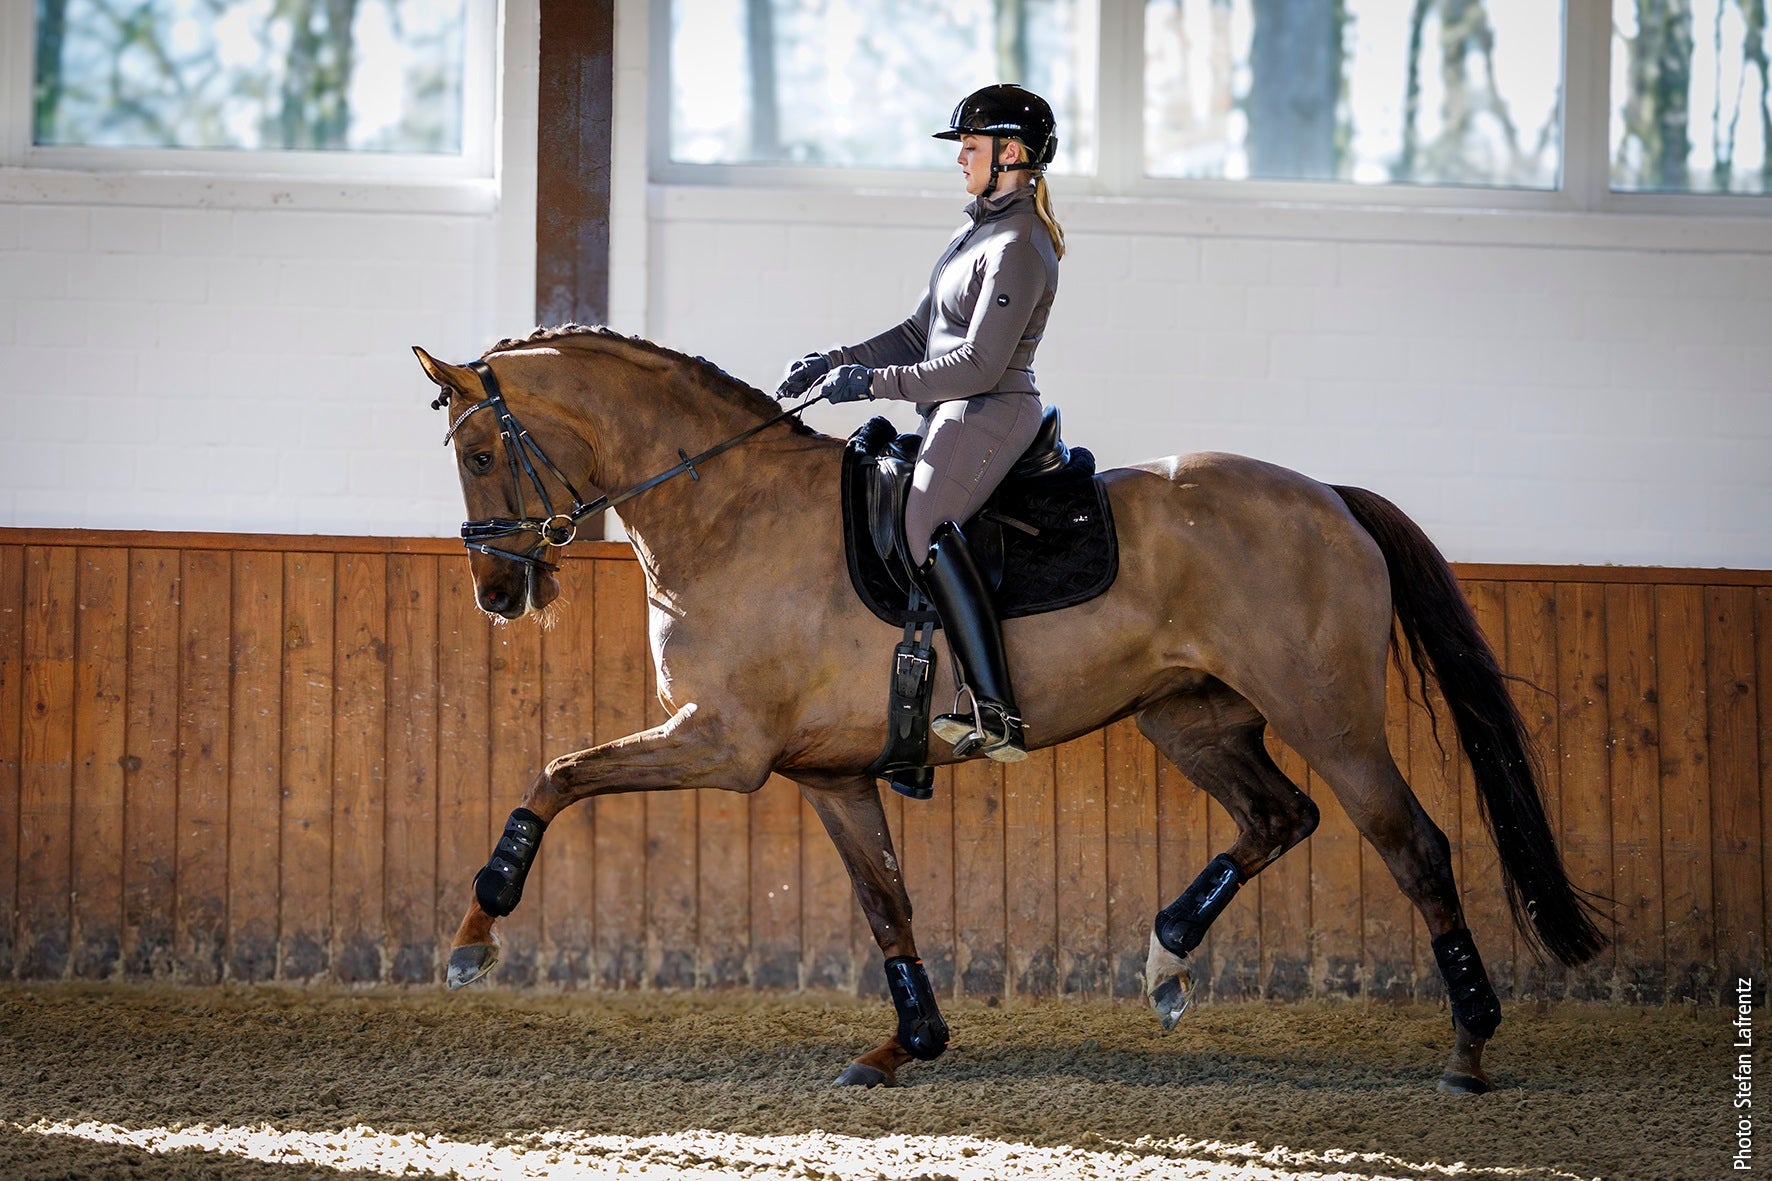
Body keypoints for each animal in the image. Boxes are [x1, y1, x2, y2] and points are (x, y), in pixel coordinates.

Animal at [412, 324, 1606, 1094]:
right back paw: (1166, 958)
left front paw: (476, 929)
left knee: (1413, 845)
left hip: (1330, 717)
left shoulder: (721, 742)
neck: (730, 515)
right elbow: (885, 903)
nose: (495, 592)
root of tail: (1330, 497)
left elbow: (556, 772)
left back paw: (1468, 1048)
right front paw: (907, 1044)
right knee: (1278, 817)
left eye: (479, 451)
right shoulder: (827, 771)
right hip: (1191, 716)